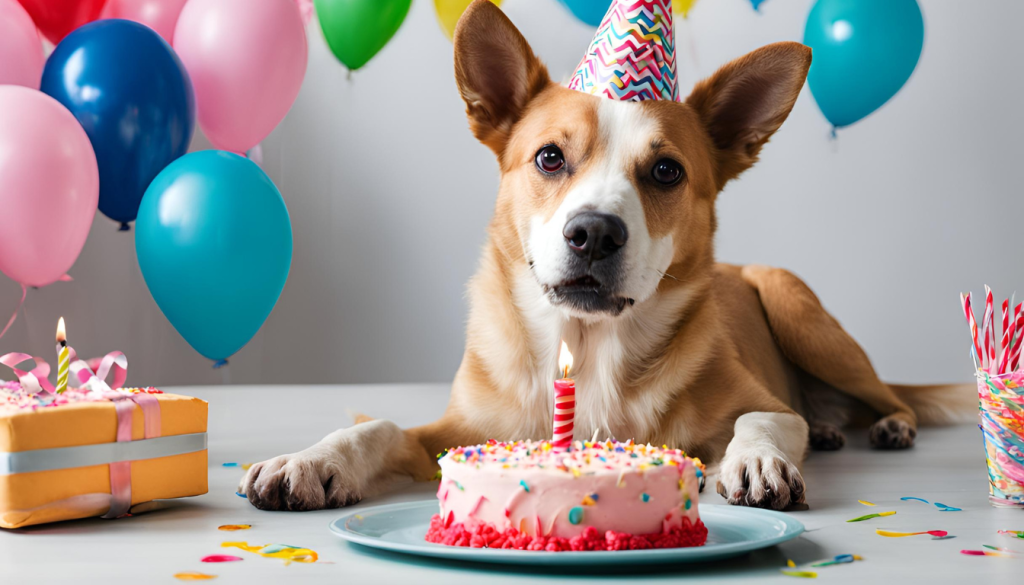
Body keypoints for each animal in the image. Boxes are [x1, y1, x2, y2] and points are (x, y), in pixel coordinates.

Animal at [237, 0, 966, 512]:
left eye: (667, 171)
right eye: (549, 157)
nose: (594, 233)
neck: (587, 348)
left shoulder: (764, 404)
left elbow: (762, 417)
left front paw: (755, 459)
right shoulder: (458, 427)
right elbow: (381, 426)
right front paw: (311, 459)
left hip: (798, 308)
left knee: (882, 395)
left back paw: (883, 425)